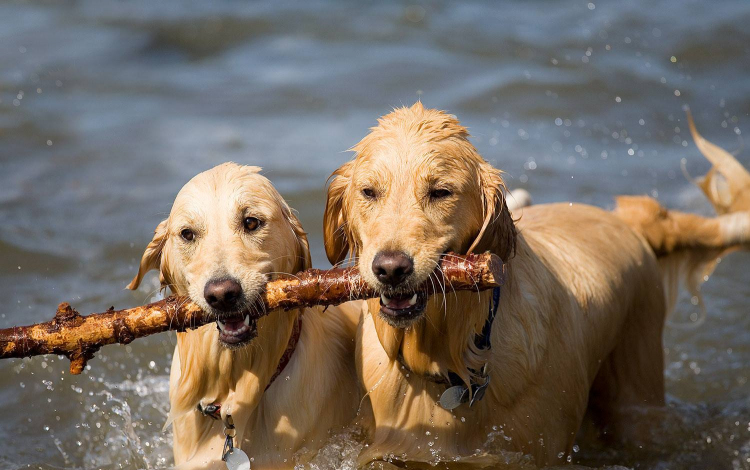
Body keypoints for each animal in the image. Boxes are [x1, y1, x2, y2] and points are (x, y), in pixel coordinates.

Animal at [324, 103, 750, 466]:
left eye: (440, 192)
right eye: (369, 192)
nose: (390, 268)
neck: (449, 363)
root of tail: (626, 221)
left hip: (636, 392)